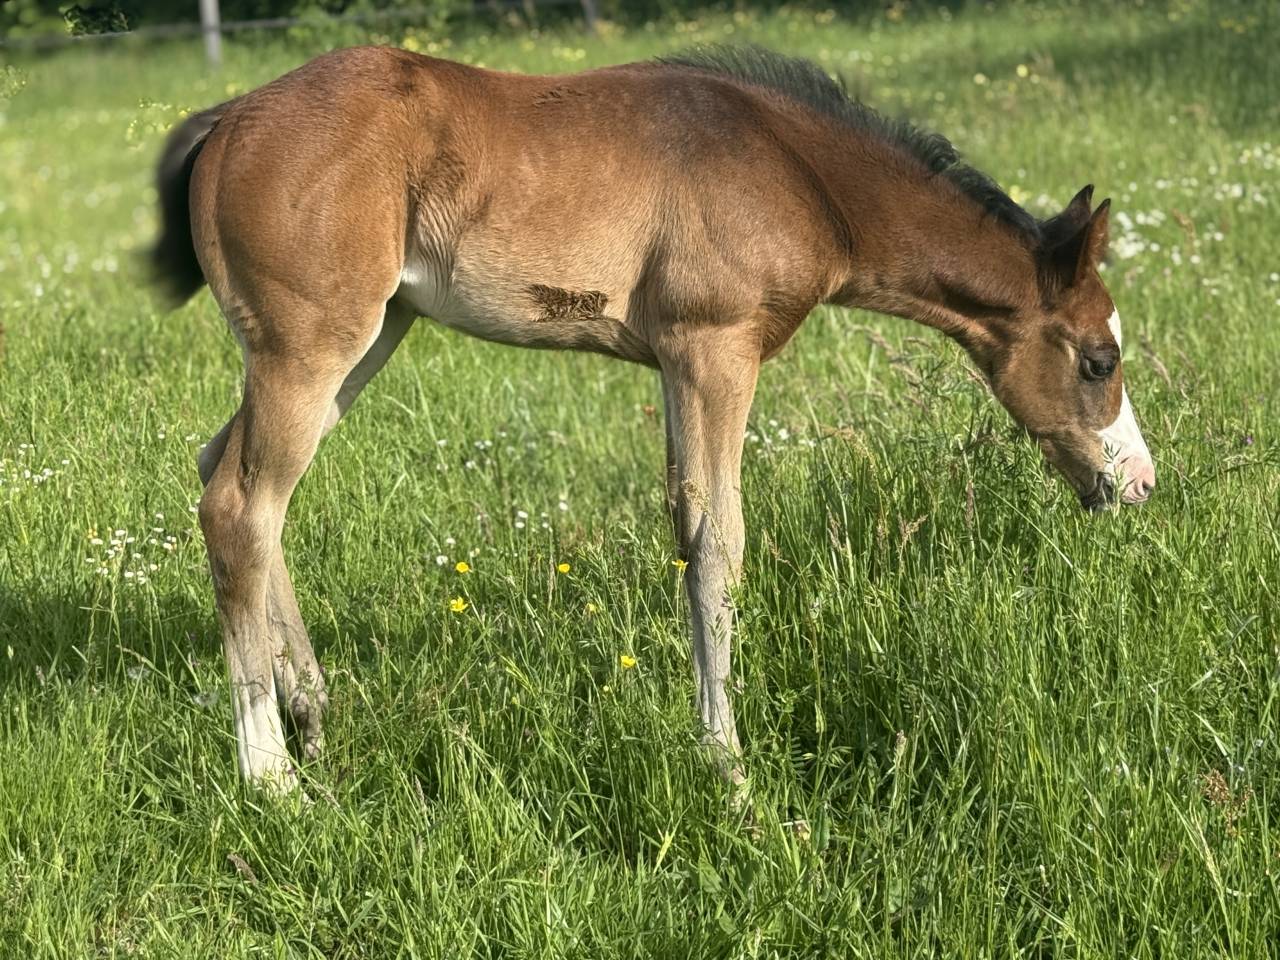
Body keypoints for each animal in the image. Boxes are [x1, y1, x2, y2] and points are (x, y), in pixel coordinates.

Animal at [151, 44, 1155, 792]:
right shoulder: (715, 348)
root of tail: (226, 119)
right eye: (1098, 361)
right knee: (239, 508)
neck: (797, 171)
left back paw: (313, 715)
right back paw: (271, 775)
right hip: (313, 344)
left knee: (231, 476)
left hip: (367, 336)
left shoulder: (677, 362)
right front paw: (727, 764)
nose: (1138, 483)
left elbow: (686, 529)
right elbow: (718, 543)